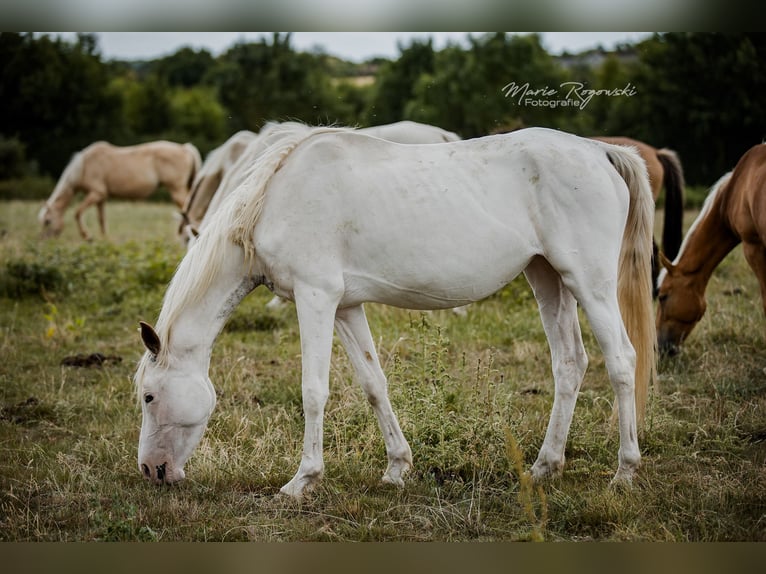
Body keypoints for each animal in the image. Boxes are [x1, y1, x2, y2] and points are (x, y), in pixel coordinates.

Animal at [39, 140, 201, 240]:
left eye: (47, 221)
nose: (44, 240)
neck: (84, 166)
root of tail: (184, 147)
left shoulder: (96, 193)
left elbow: (77, 213)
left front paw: (88, 237)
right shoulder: (101, 198)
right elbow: (101, 219)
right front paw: (105, 240)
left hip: (177, 190)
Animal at [134, 126, 656, 498]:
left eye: (148, 396)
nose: (151, 470)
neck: (273, 201)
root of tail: (599, 151)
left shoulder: (315, 297)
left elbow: (313, 391)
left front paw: (302, 480)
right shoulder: (345, 307)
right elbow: (373, 384)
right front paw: (397, 468)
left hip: (589, 283)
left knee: (621, 361)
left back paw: (626, 472)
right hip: (549, 279)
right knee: (570, 364)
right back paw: (544, 467)